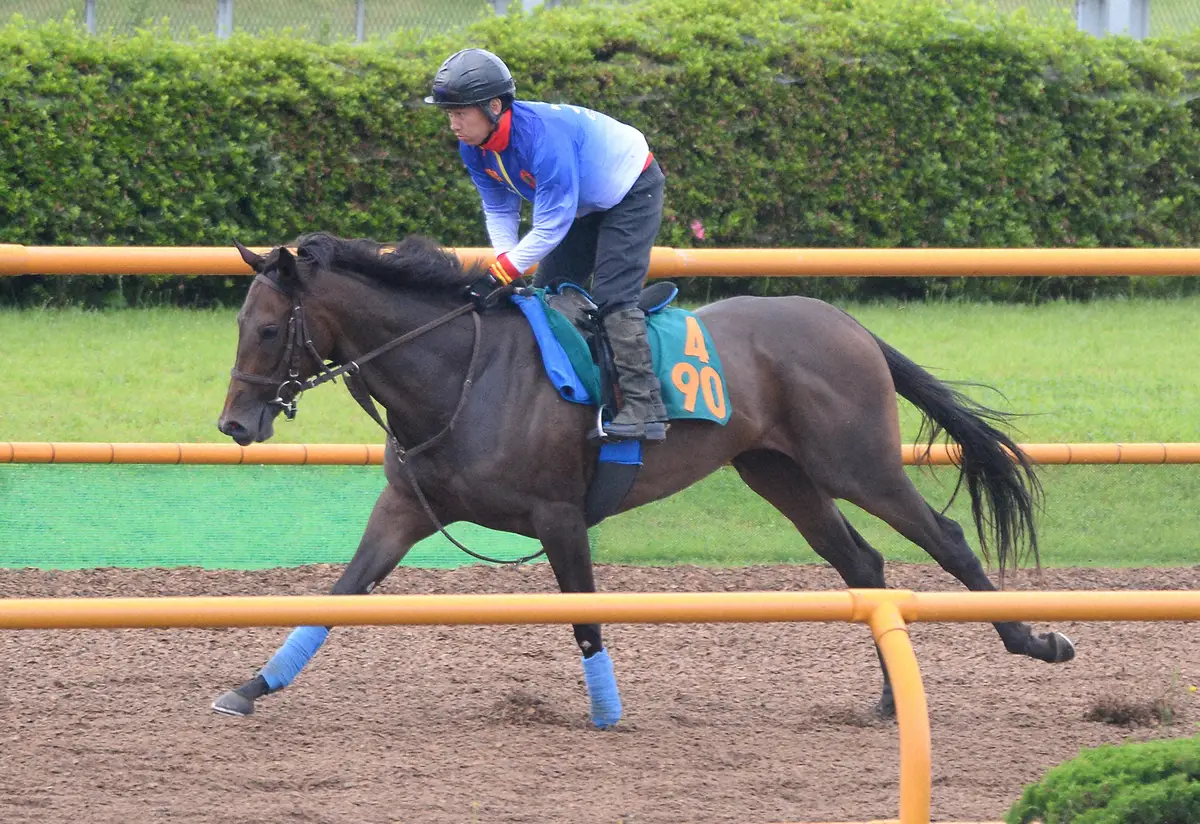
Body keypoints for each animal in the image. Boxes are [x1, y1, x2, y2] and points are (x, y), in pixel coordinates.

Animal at [213, 233, 1080, 729]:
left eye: (268, 328)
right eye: (240, 325)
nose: (234, 425)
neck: (461, 374)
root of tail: (847, 323)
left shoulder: (560, 515)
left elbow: (584, 616)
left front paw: (606, 712)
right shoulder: (404, 509)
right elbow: (339, 593)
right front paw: (251, 686)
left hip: (857, 464)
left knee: (948, 540)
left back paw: (1035, 641)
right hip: (779, 473)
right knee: (861, 564)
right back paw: (893, 698)